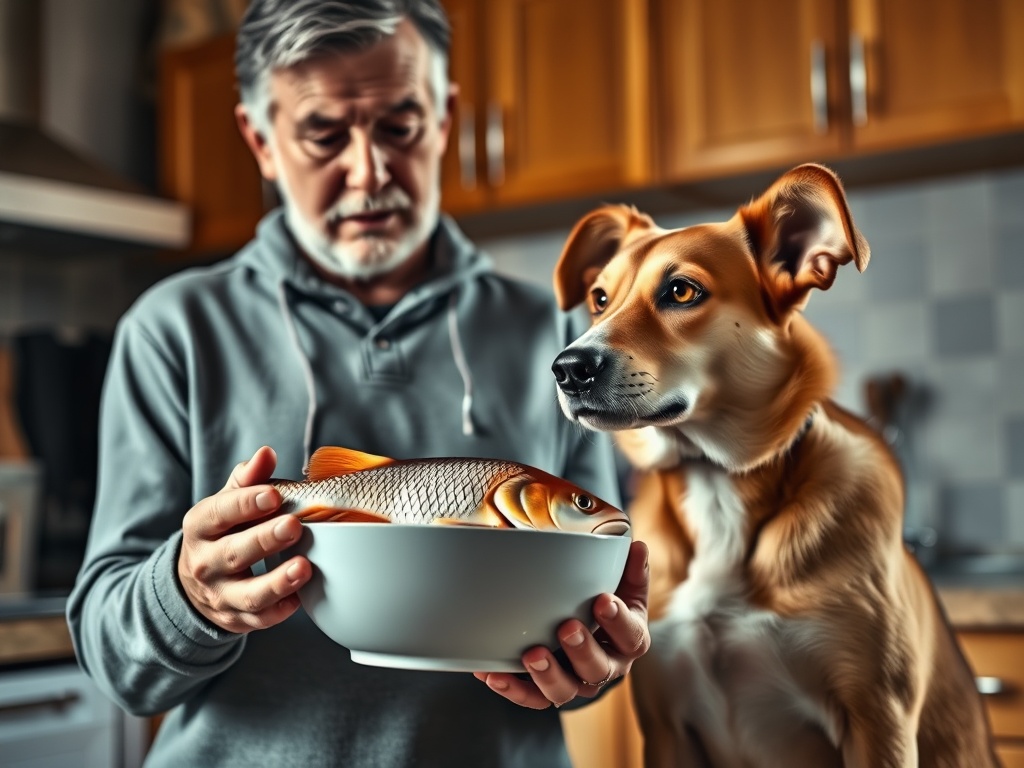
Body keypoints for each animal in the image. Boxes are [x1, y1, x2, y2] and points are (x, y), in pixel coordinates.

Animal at [552, 163, 999, 768]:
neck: (716, 483)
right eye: (599, 298)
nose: (566, 368)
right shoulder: (666, 729)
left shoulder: (879, 722)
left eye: (681, 290)